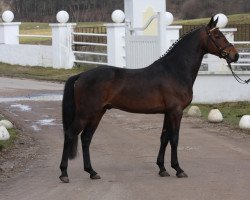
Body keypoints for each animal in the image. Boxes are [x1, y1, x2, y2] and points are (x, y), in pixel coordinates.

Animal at [58, 16, 238, 183]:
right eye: (217, 36)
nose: (235, 55)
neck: (174, 70)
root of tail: (80, 76)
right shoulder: (176, 112)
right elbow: (174, 139)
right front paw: (178, 169)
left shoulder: (168, 112)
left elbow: (164, 138)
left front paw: (162, 169)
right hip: (86, 113)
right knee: (70, 134)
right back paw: (64, 173)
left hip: (97, 113)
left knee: (86, 138)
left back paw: (92, 172)